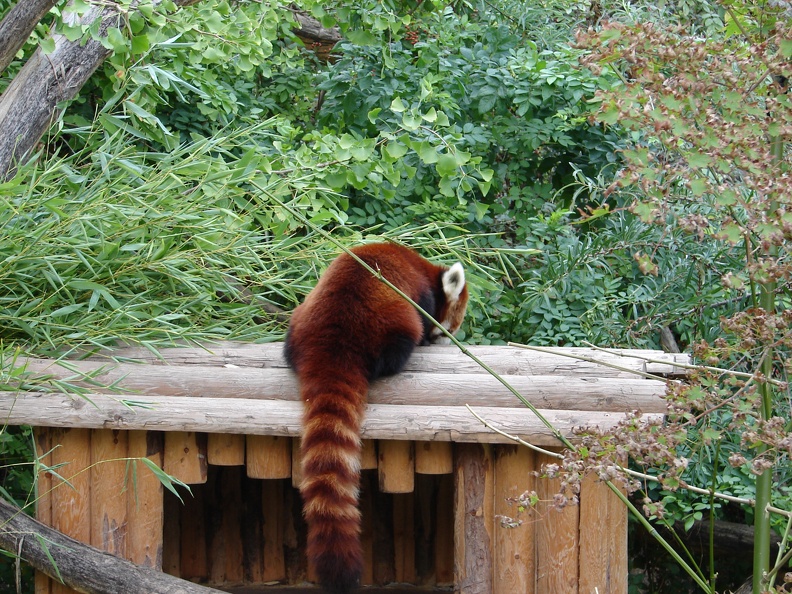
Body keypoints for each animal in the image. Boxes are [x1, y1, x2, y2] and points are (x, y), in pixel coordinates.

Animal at [284, 242, 470, 592]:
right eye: (448, 329)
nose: (450, 340)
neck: (425, 269)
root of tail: (332, 340)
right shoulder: (420, 294)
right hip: (391, 321)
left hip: (300, 316)